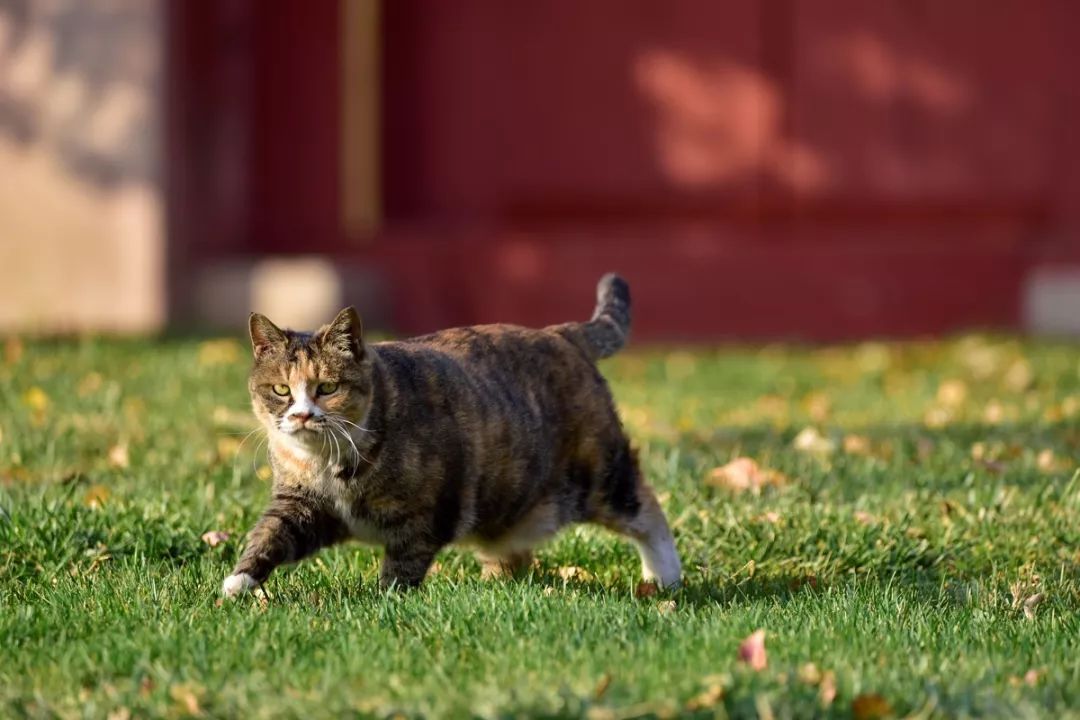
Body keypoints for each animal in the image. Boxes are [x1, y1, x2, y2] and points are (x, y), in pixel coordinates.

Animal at [222, 273, 678, 595]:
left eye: (327, 388)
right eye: (281, 390)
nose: (301, 415)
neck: (329, 461)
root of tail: (561, 332)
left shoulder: (428, 514)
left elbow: (404, 565)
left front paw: (388, 599)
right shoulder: (301, 503)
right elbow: (270, 534)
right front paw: (238, 583)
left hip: (601, 476)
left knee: (646, 510)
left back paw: (665, 579)